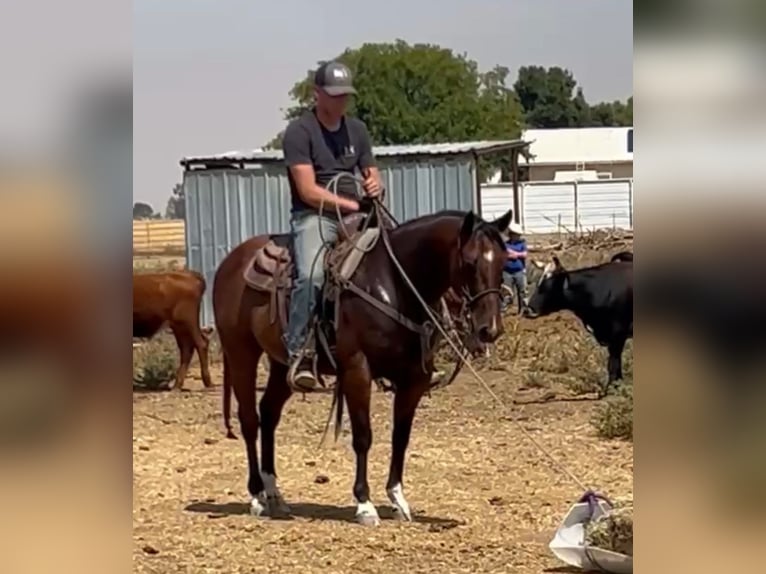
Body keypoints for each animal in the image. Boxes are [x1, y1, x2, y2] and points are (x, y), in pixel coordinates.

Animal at [212, 206, 513, 526]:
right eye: (469, 262)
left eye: (504, 261)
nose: (490, 329)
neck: (395, 283)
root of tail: (231, 261)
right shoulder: (357, 370)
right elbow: (363, 436)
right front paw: (364, 503)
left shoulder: (414, 380)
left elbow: (400, 437)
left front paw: (398, 499)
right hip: (241, 353)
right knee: (249, 420)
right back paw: (257, 496)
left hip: (283, 366)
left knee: (268, 414)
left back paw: (274, 495)